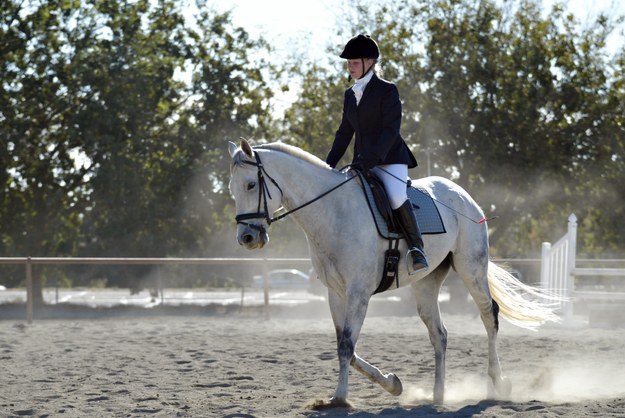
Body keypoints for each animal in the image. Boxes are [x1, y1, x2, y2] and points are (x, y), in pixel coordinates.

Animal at [227, 139, 560, 406]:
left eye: (251, 185)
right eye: (231, 190)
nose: (247, 238)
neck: (333, 212)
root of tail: (462, 194)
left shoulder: (358, 292)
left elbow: (347, 346)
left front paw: (340, 398)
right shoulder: (336, 293)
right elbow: (346, 346)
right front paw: (392, 384)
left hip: (471, 269)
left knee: (489, 316)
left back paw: (498, 384)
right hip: (427, 283)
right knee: (439, 334)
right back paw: (437, 395)